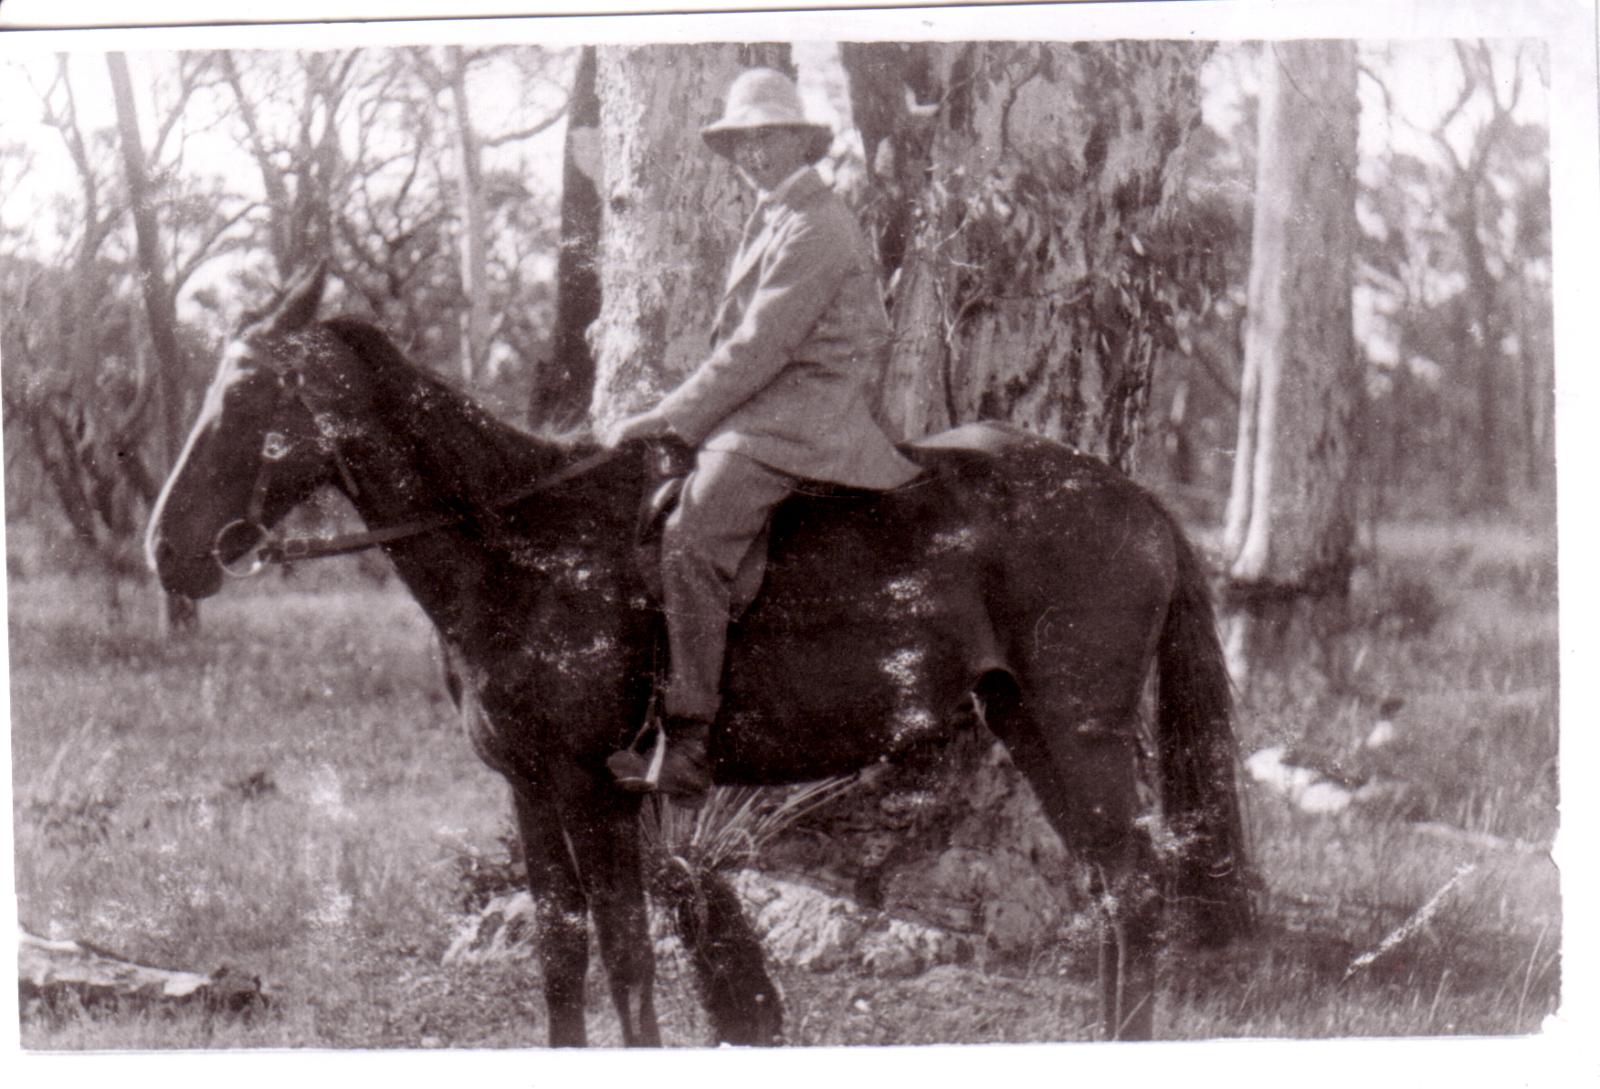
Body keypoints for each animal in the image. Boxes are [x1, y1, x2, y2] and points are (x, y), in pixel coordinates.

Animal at [147, 265, 1248, 1042]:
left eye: (246, 394)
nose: (168, 550)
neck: (524, 544)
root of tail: (1140, 501)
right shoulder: (532, 790)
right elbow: (564, 957)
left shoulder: (592, 791)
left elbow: (628, 957)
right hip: (1031, 727)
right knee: (1112, 890)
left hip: (1081, 731)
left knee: (1135, 890)